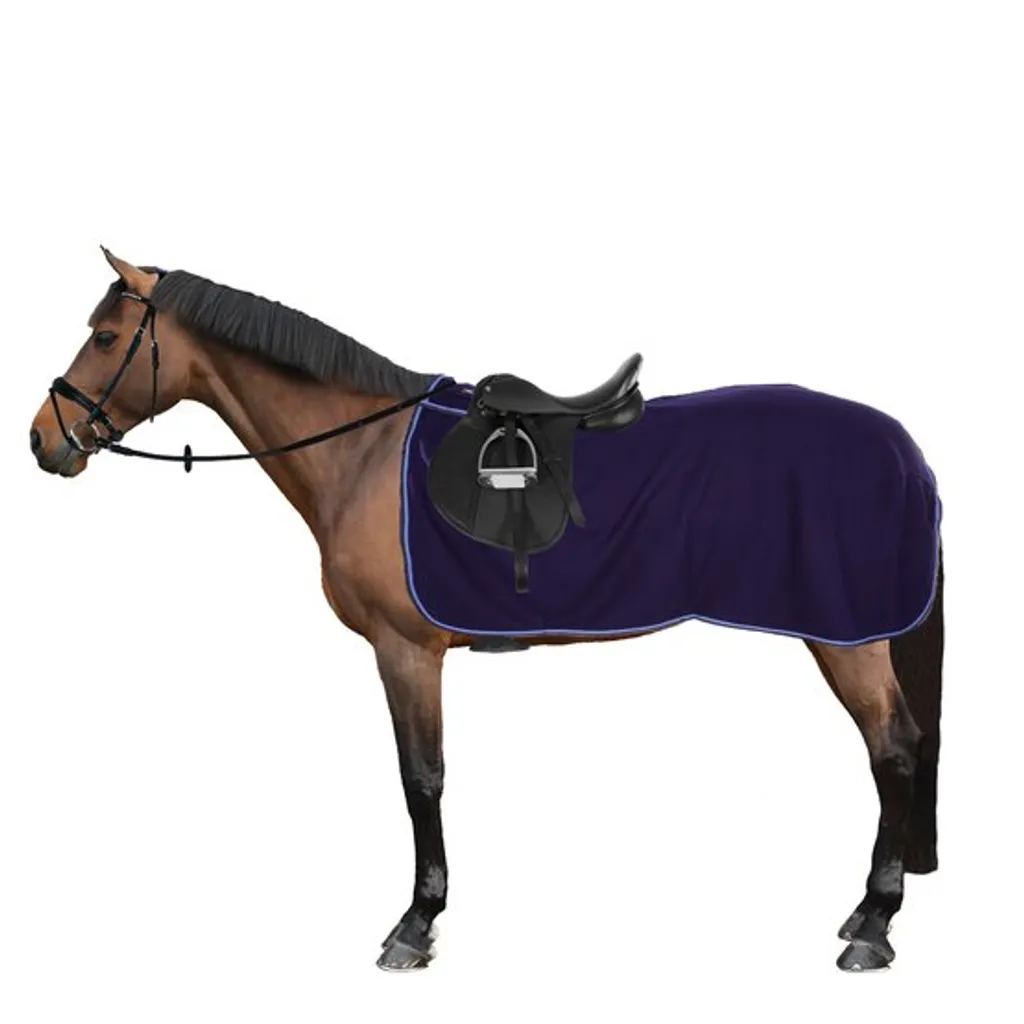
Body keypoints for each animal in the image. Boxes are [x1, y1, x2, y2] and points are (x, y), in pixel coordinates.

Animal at [29, 249, 944, 973]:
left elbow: (421, 778)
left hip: (849, 636)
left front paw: (415, 923)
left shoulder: (405, 650)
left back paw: (874, 924)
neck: (360, 451)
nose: (44, 439)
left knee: (894, 749)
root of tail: (902, 448)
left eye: (105, 337)